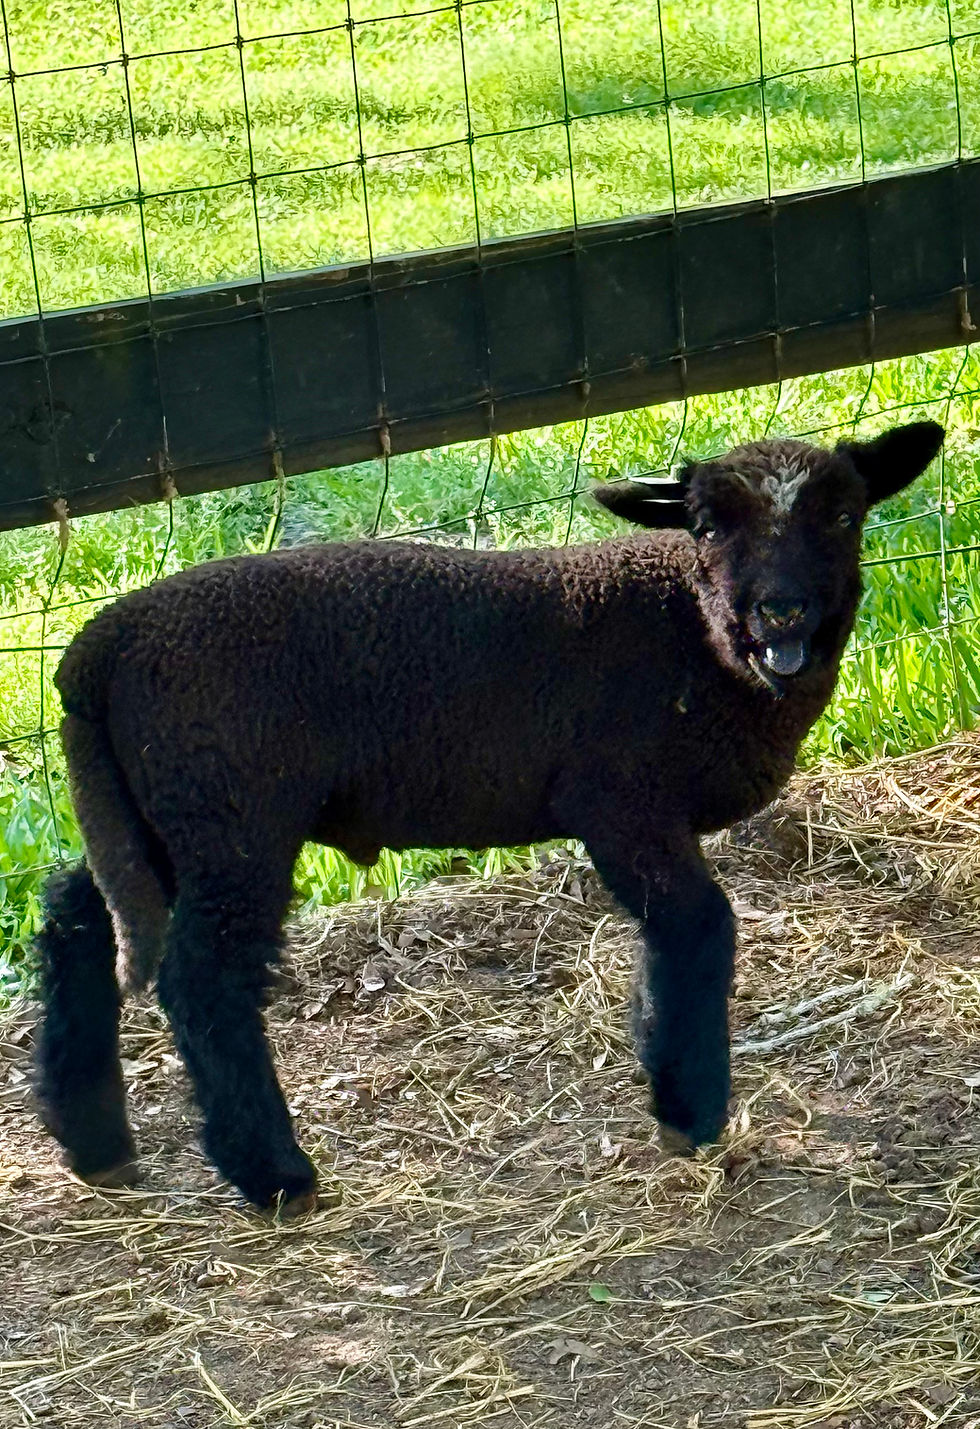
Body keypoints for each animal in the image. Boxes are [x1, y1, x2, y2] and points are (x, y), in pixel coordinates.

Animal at [35, 419, 943, 1215]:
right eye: (709, 525)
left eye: (844, 514)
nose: (781, 610)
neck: (691, 634)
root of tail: (94, 652)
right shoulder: (621, 798)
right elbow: (697, 927)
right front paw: (689, 1113)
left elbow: (667, 940)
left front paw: (663, 1076)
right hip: (231, 817)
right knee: (202, 979)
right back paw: (274, 1174)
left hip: (151, 816)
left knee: (79, 918)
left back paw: (94, 1144)